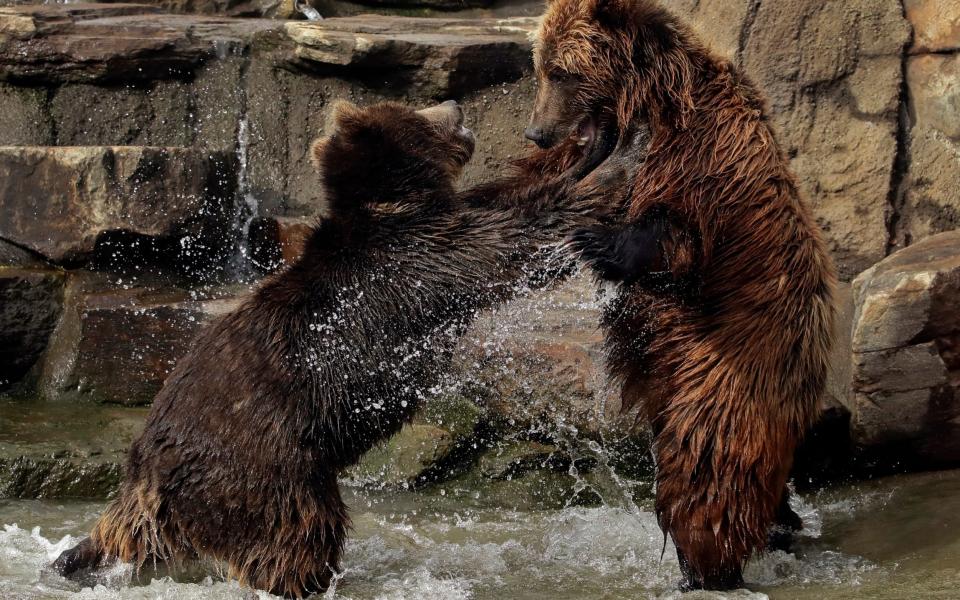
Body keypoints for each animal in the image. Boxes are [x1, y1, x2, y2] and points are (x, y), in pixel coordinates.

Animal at [524, 0, 840, 592]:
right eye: (541, 67)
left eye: (562, 72)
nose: (537, 132)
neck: (646, 101)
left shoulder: (702, 158)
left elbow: (673, 235)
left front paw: (589, 239)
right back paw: (782, 525)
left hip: (727, 368)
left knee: (708, 468)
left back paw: (707, 569)